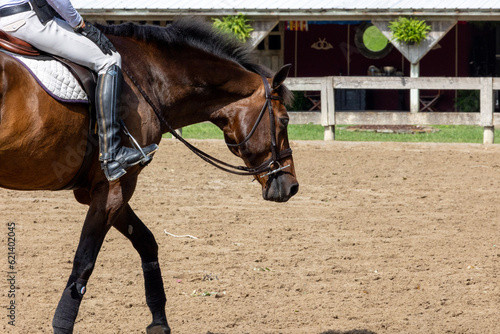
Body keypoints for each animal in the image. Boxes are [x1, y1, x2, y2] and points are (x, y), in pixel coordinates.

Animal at [0, 18, 296, 334]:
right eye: (284, 120)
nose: (292, 185)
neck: (148, 78)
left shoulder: (101, 191)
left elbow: (146, 242)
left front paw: (159, 321)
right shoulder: (116, 186)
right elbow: (84, 262)